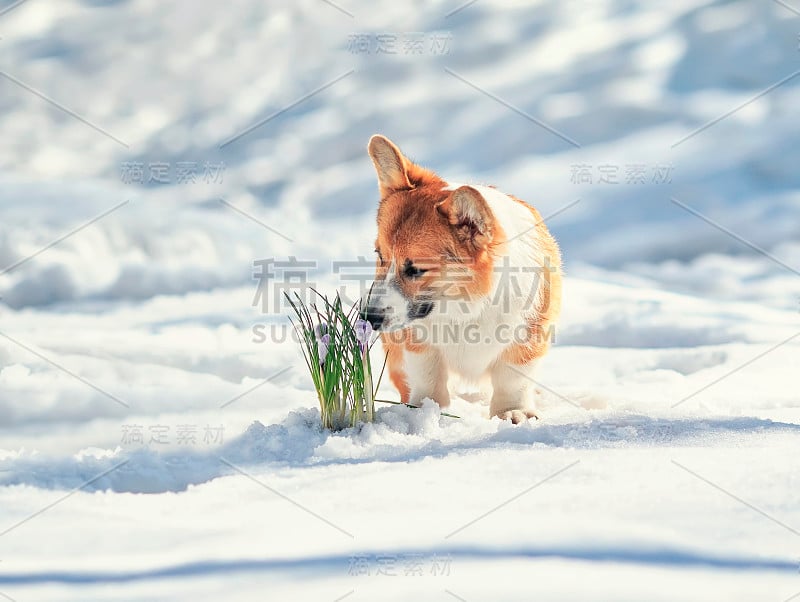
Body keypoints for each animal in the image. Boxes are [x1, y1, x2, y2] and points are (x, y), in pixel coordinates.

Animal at [362, 135, 564, 422]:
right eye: (379, 255)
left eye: (416, 269)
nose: (369, 318)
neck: (465, 306)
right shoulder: (419, 344)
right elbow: (427, 376)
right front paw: (424, 410)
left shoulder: (529, 336)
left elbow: (512, 380)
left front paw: (512, 412)